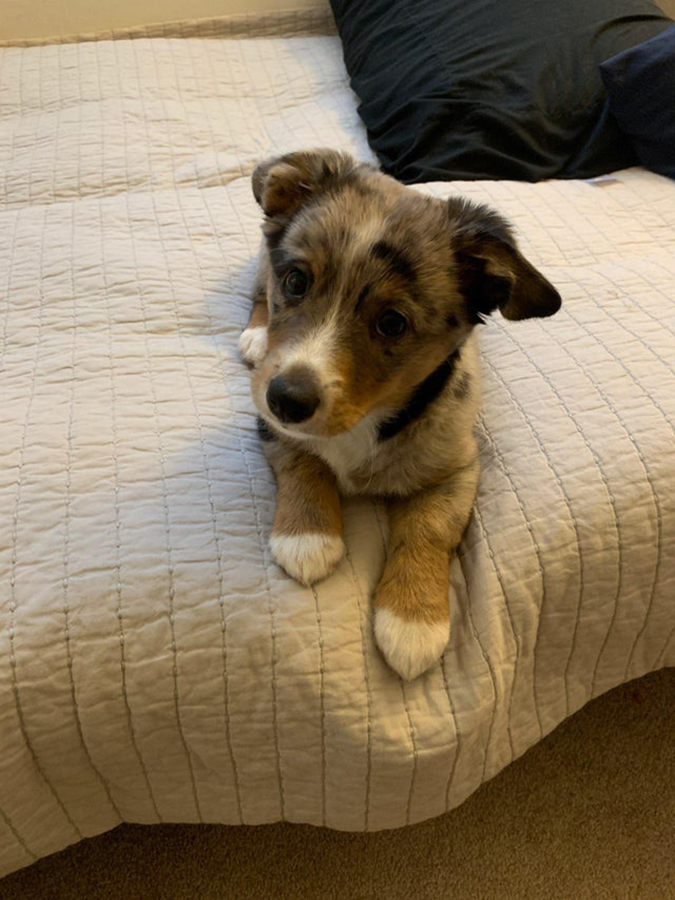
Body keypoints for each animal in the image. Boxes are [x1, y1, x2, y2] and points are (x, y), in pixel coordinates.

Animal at [238, 151, 560, 680]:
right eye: (297, 281)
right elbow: (303, 462)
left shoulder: (456, 468)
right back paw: (255, 334)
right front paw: (307, 537)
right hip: (262, 266)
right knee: (256, 289)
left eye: (392, 323)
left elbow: (428, 528)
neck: (367, 417)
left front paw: (412, 620)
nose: (286, 398)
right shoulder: (266, 421)